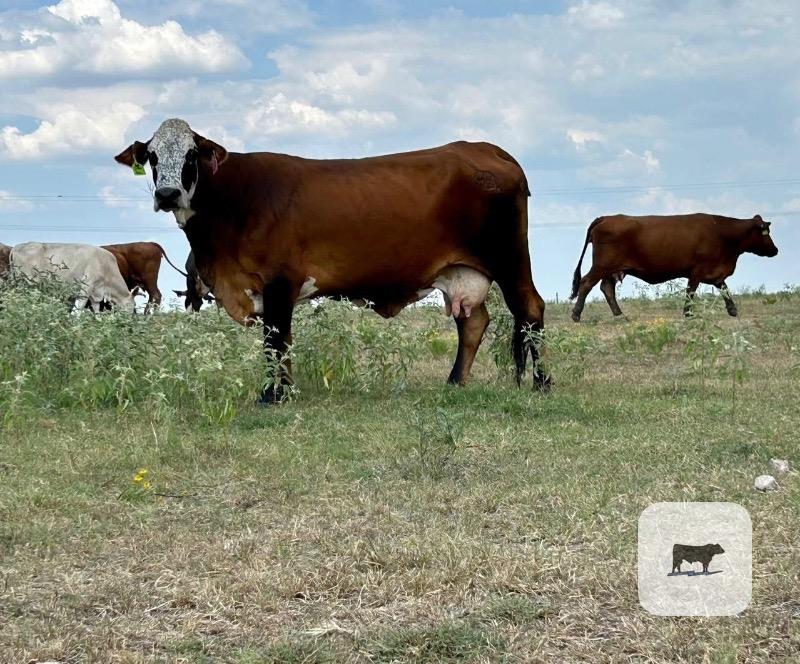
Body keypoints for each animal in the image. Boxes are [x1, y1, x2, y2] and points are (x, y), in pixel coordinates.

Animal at [115, 118, 547, 403]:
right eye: (152, 156)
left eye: (191, 155)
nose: (168, 194)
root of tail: (484, 148)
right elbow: (280, 342)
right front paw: (281, 391)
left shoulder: (279, 283)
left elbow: (275, 340)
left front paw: (273, 395)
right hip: (462, 270)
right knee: (472, 322)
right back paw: (455, 382)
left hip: (510, 260)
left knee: (530, 310)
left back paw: (542, 382)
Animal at [570, 213, 779, 321]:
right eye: (766, 233)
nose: (776, 250)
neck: (721, 233)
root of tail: (607, 217)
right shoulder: (697, 270)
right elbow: (691, 291)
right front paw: (687, 314)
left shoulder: (714, 272)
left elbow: (724, 288)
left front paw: (733, 310)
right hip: (602, 265)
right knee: (586, 283)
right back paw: (576, 314)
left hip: (611, 269)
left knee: (607, 288)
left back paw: (620, 315)